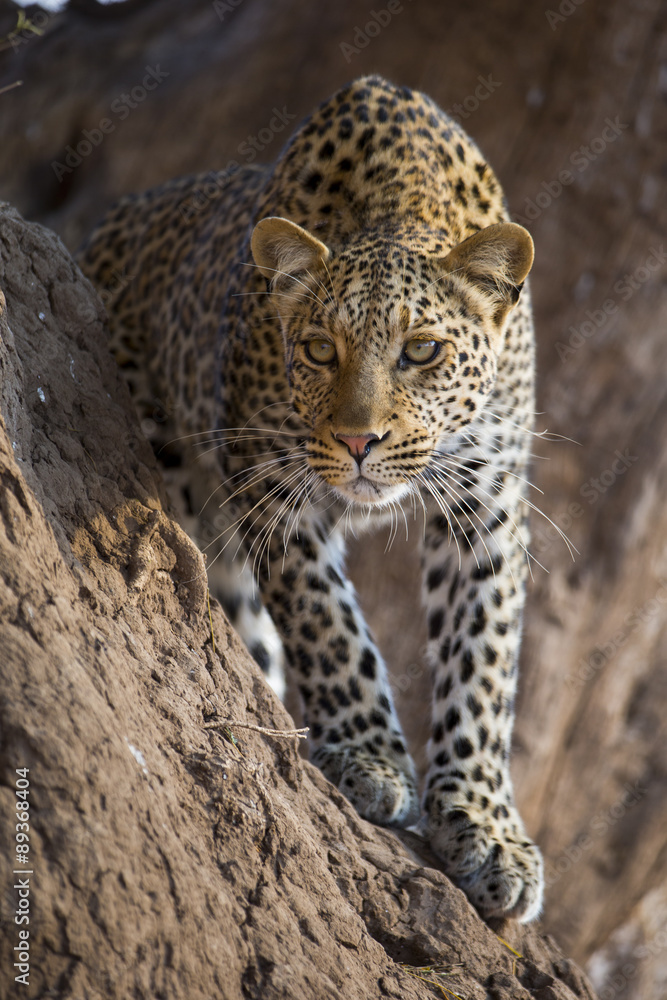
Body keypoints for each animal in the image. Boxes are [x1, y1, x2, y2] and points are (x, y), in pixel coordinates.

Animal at [77, 74, 544, 922]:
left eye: (422, 350)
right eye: (320, 349)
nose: (359, 441)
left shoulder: (489, 506)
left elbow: (483, 661)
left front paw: (486, 827)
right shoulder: (271, 484)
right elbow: (329, 625)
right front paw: (369, 757)